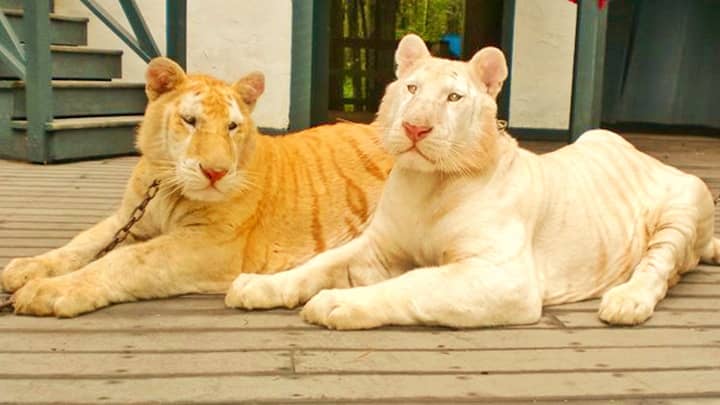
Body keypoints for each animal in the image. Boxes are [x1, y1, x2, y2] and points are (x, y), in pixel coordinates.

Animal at [0, 57, 390, 316]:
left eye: (232, 126)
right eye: (190, 121)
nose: (215, 172)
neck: (163, 184)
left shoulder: (210, 244)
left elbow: (125, 259)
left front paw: (49, 292)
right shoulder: (130, 217)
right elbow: (82, 243)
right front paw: (25, 268)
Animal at [222, 34, 716, 328]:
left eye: (454, 97)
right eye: (412, 89)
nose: (416, 128)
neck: (427, 185)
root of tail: (643, 154)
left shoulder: (502, 276)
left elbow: (415, 285)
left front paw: (337, 304)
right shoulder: (378, 246)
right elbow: (318, 264)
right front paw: (256, 286)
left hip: (685, 202)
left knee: (660, 268)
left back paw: (625, 301)